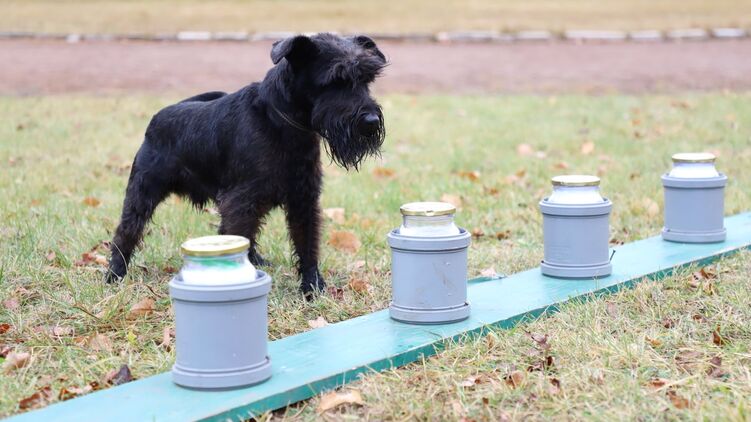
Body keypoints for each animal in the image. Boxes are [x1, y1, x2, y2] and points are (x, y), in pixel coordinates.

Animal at [107, 33, 386, 294]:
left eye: (367, 79)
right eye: (335, 80)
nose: (371, 121)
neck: (281, 121)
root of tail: (158, 118)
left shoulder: (303, 198)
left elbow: (307, 242)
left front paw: (312, 286)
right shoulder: (242, 201)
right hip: (143, 193)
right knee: (127, 232)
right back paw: (114, 274)